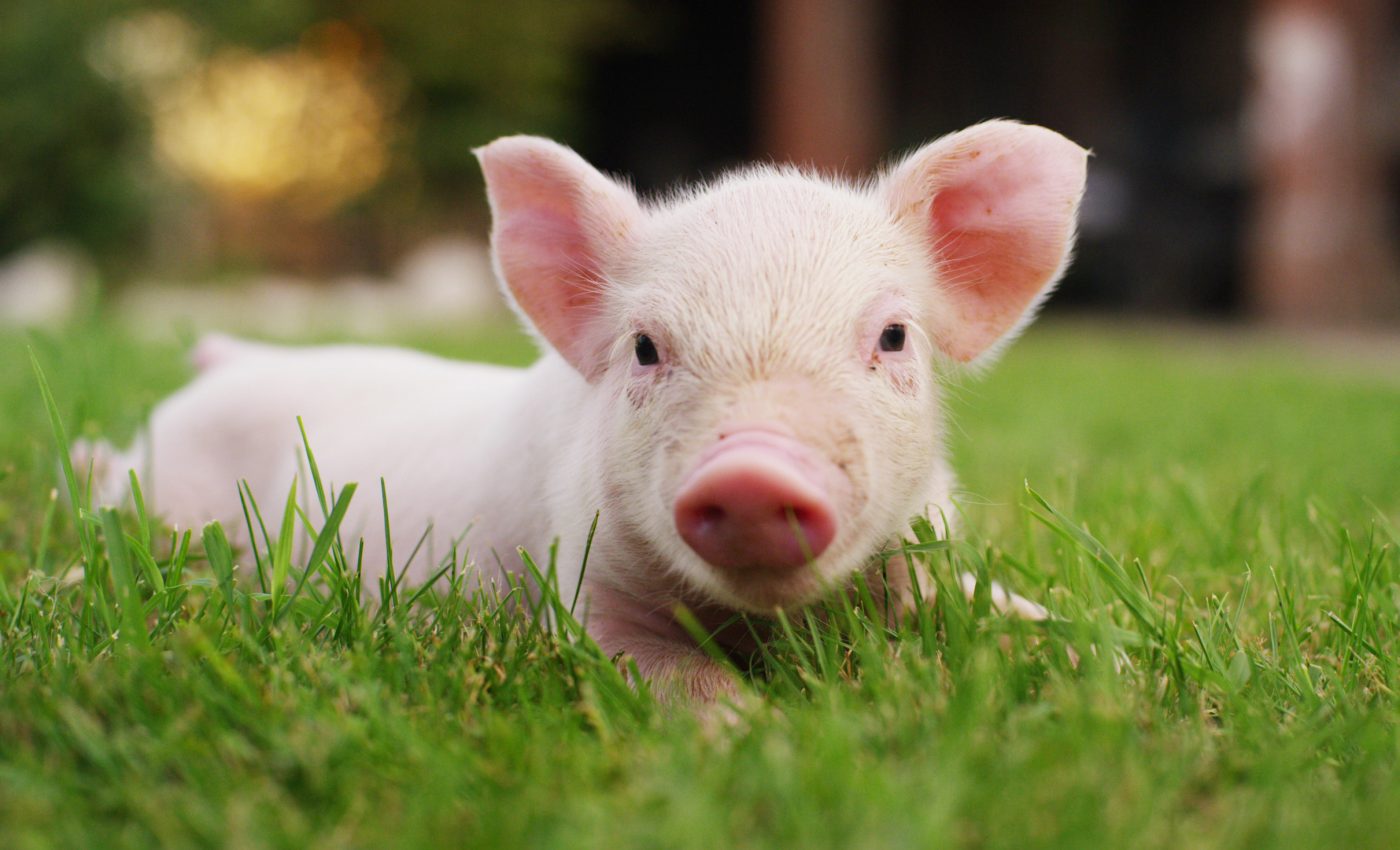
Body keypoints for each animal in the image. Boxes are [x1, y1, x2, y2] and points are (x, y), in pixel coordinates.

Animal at [80, 120, 1086, 699]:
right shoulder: (584, 586)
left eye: (893, 337)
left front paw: (1085, 657)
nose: (753, 469)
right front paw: (758, 732)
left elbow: (998, 610)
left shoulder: (922, 552)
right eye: (644, 347)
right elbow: (674, 679)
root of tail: (230, 359)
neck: (761, 623)